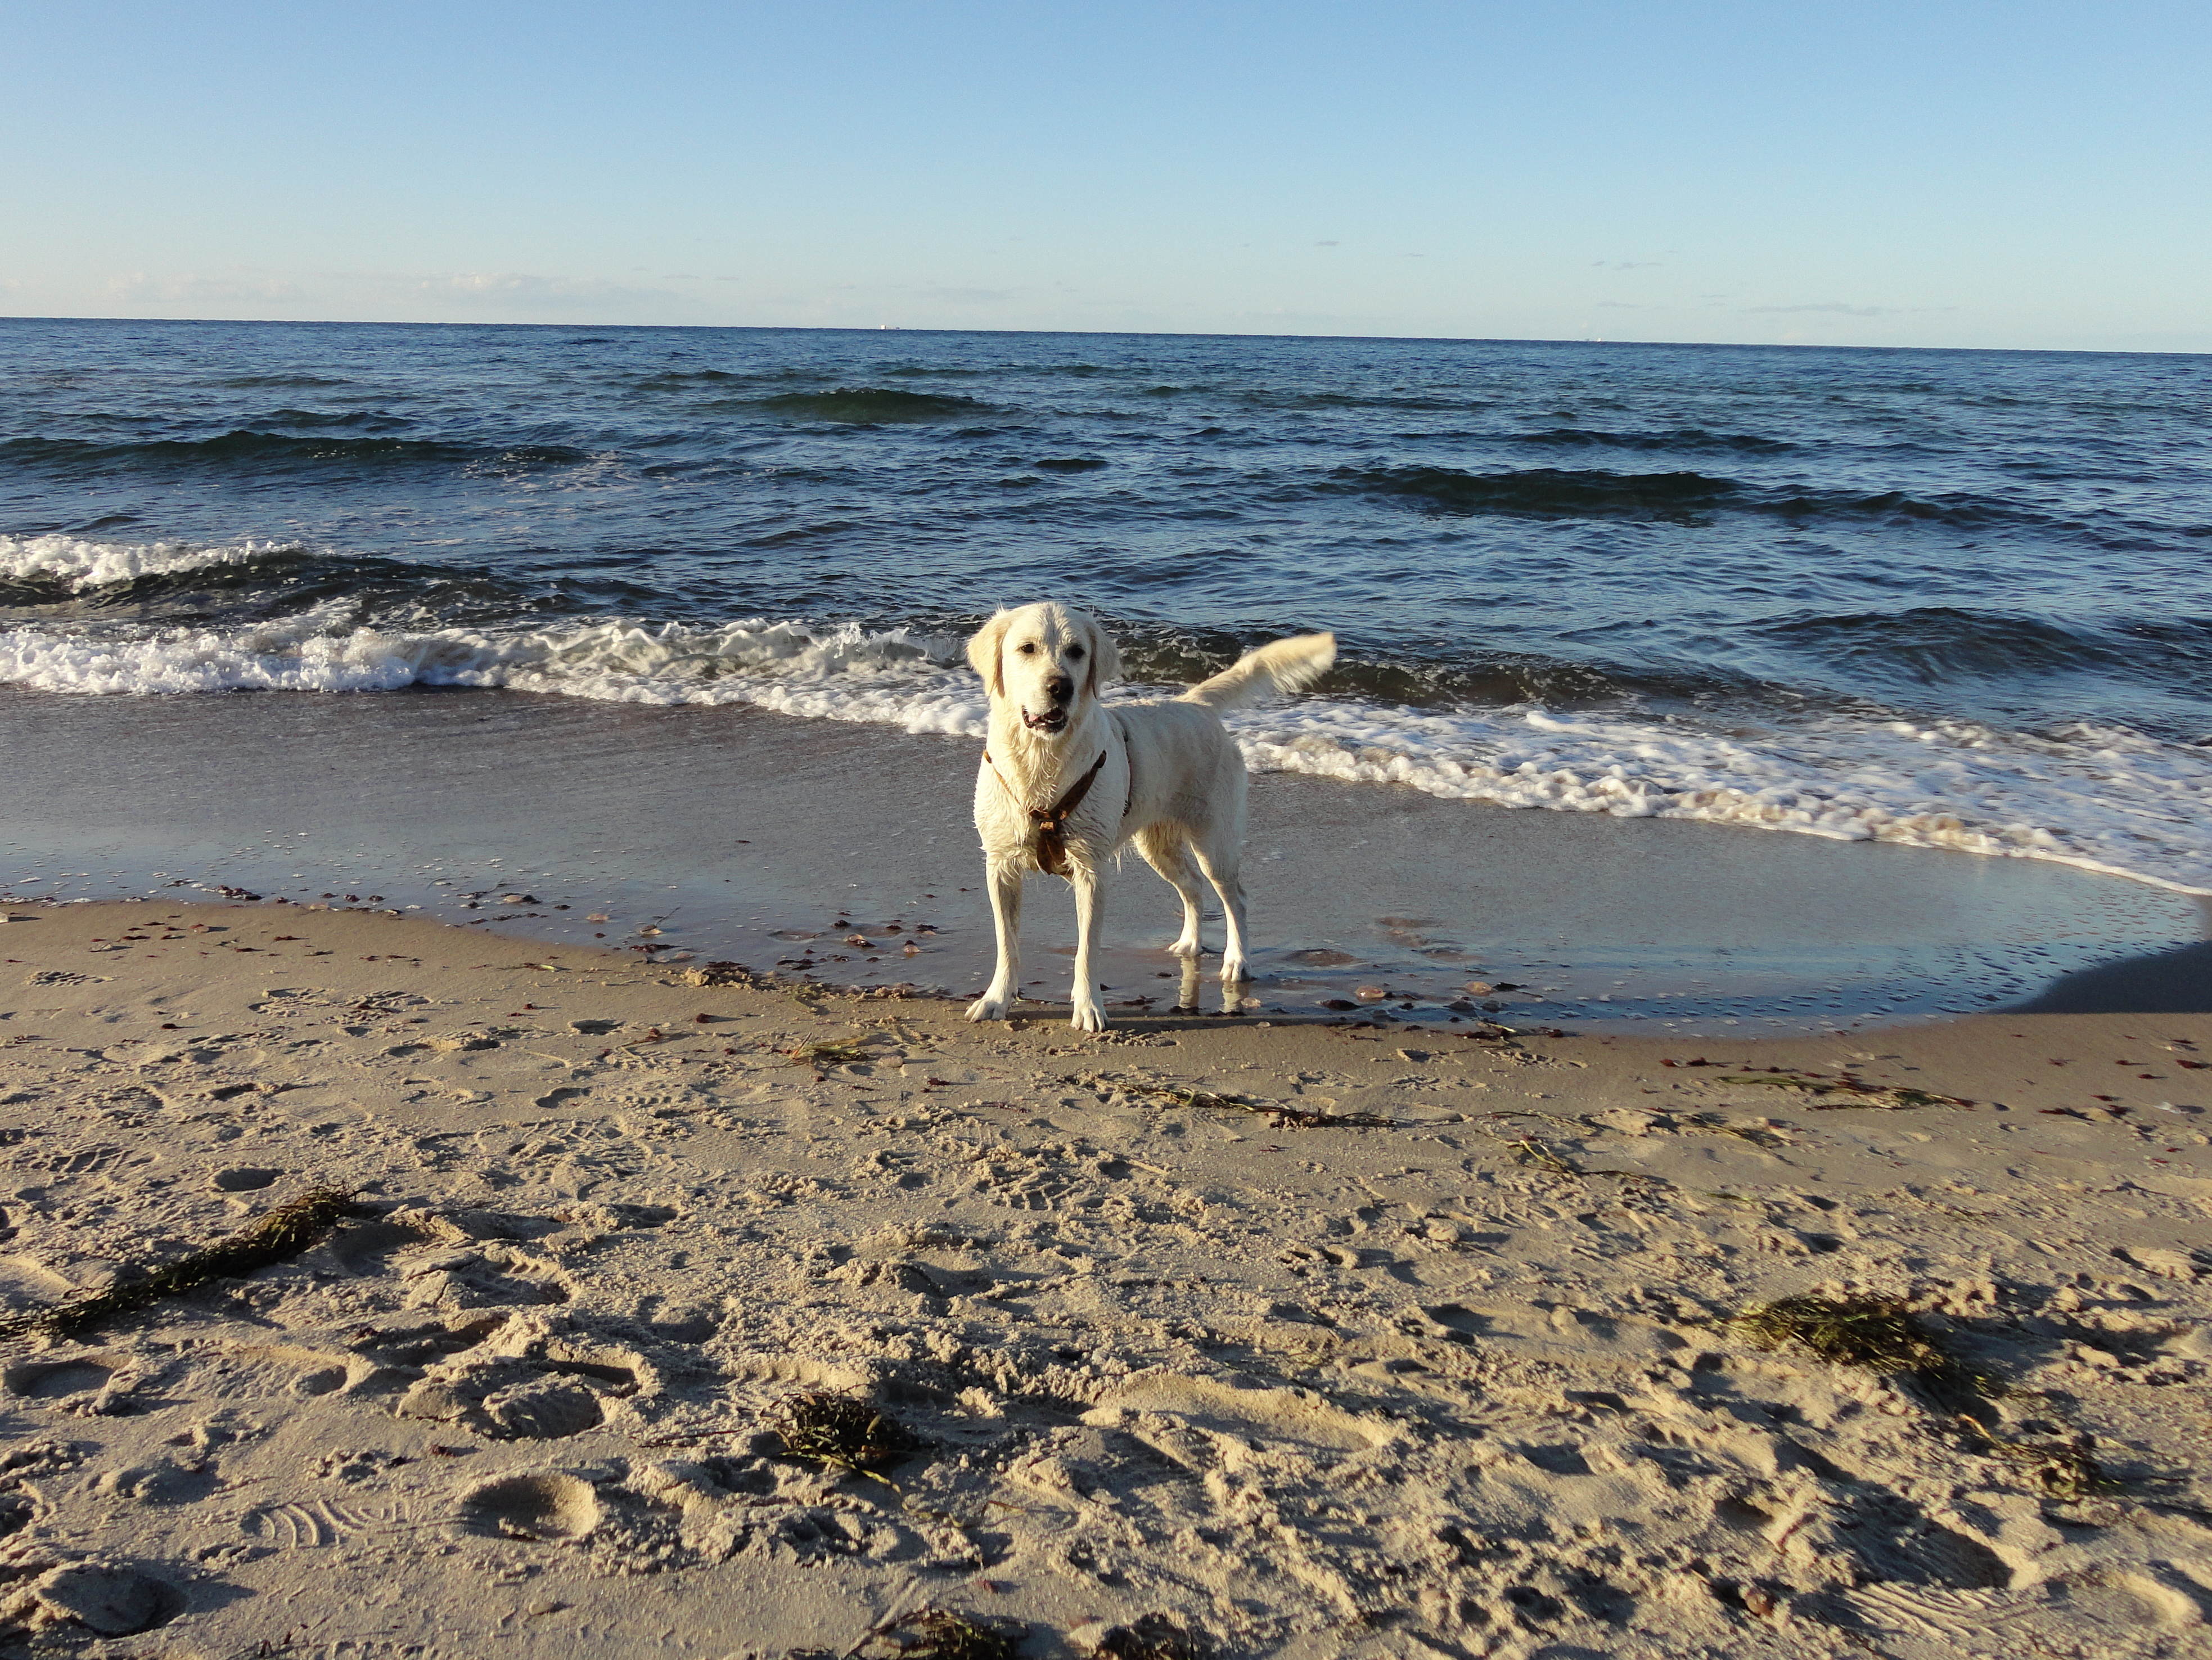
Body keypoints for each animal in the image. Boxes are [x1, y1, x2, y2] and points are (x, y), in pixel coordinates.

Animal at [964, 606, 1327, 1036]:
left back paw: (1237, 961)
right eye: (1026, 648)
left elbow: (1086, 950)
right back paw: (1190, 944)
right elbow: (1007, 943)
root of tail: (1195, 703)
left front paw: (1089, 1007)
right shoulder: (1000, 864)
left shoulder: (1091, 869)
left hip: (1214, 840)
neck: (1042, 759)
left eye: (1076, 651)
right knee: (1192, 886)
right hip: (1157, 845)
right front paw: (996, 999)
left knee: (1233, 897)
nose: (1060, 687)